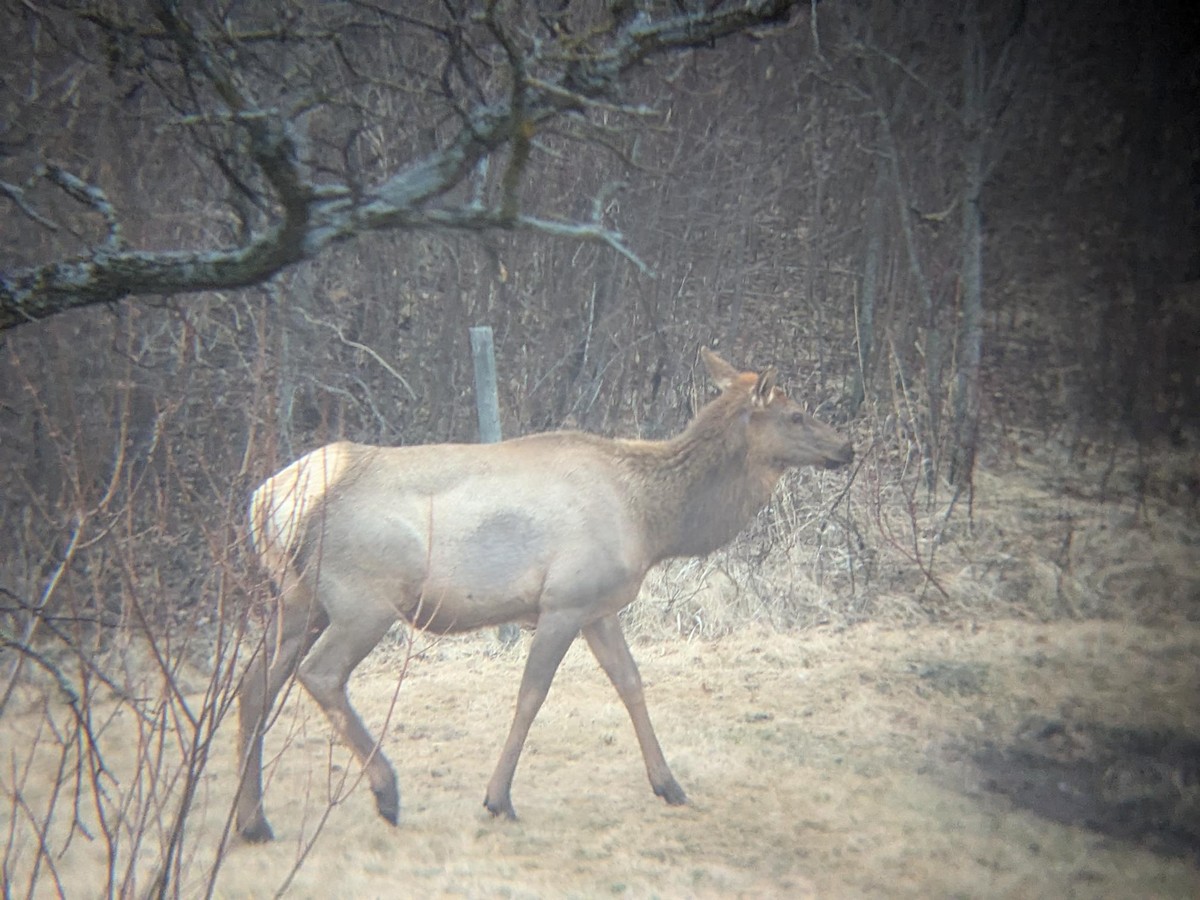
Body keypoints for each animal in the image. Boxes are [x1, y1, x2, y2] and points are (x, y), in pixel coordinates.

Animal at [235, 348, 854, 842]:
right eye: (796, 413)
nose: (846, 448)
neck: (652, 523)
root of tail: (268, 502)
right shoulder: (564, 601)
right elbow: (531, 694)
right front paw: (498, 798)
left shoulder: (600, 606)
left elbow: (631, 684)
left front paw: (669, 785)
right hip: (363, 598)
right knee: (318, 675)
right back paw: (386, 793)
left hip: (300, 600)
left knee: (254, 683)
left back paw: (253, 821)